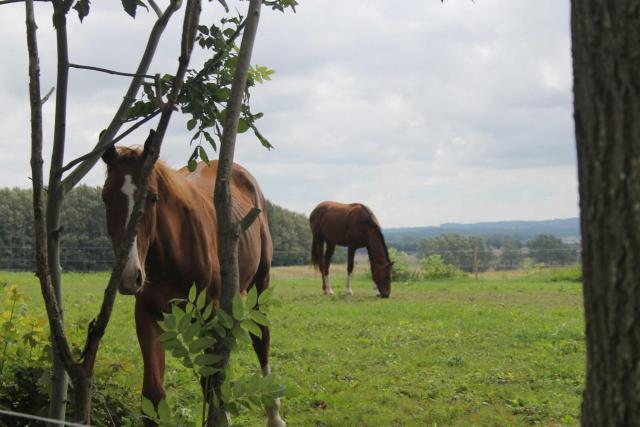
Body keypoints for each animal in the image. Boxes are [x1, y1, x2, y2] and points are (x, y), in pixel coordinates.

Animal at [102, 132, 284, 426]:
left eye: (152, 197)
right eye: (106, 198)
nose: (130, 276)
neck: (171, 254)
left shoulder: (211, 313)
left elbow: (211, 382)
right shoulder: (148, 314)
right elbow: (153, 395)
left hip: (260, 283)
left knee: (261, 340)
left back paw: (274, 414)